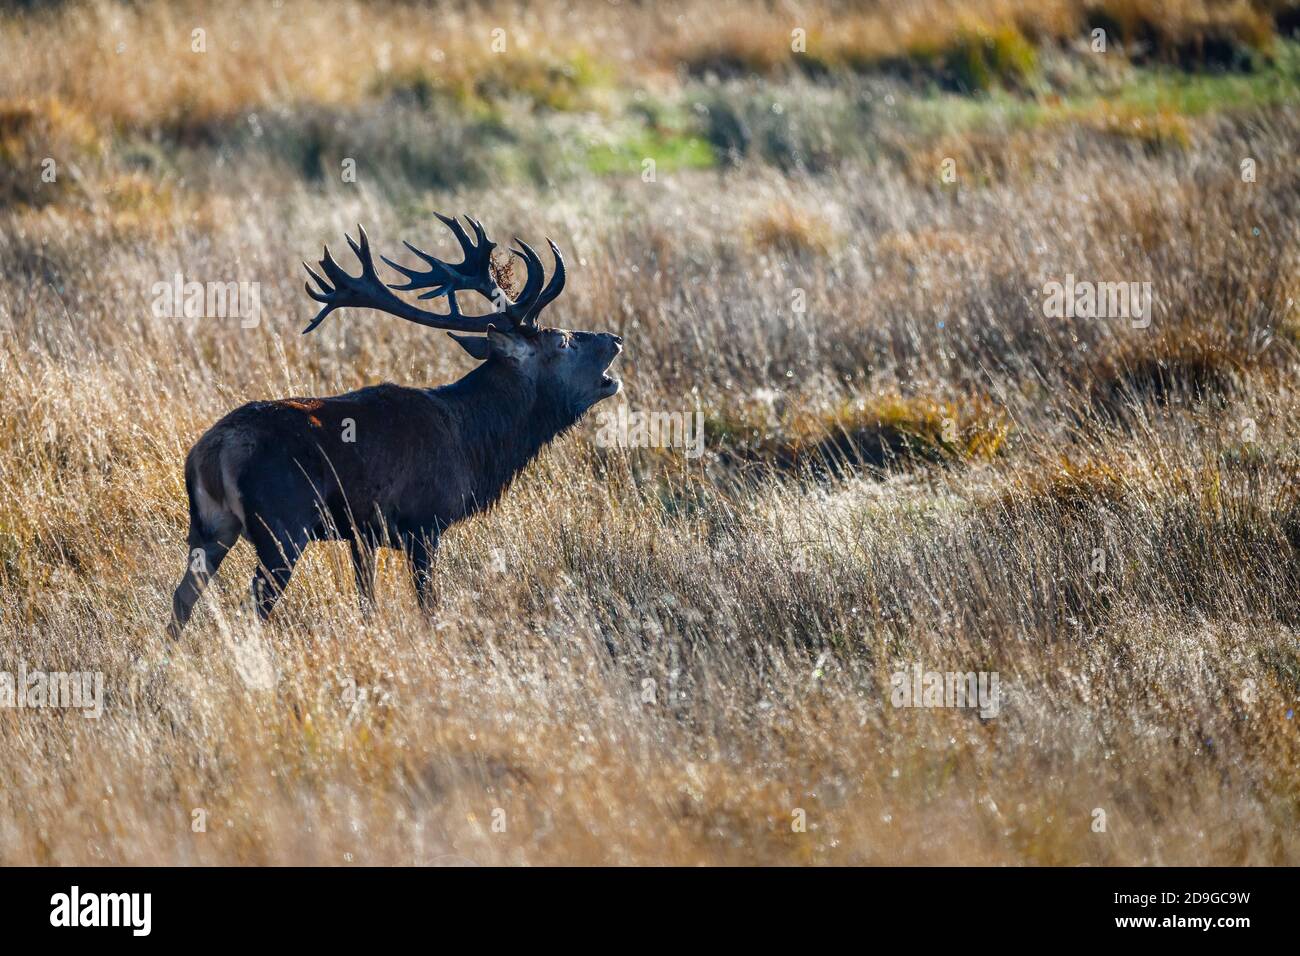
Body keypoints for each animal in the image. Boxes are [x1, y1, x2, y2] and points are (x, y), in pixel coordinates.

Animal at [165, 213, 621, 639]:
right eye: (563, 341)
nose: (614, 339)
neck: (472, 445)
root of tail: (208, 453)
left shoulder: (363, 533)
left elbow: (368, 601)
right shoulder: (424, 522)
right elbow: (428, 604)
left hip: (209, 526)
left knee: (183, 597)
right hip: (282, 524)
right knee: (254, 603)